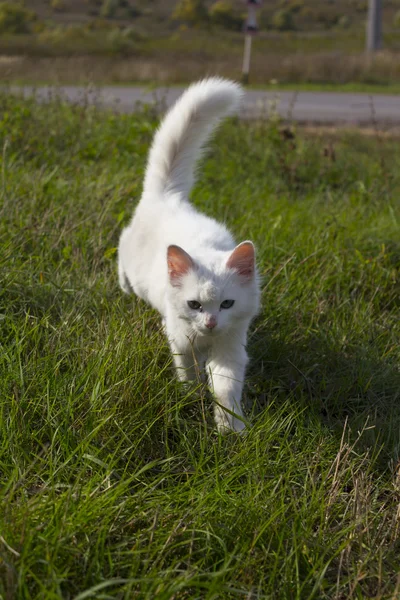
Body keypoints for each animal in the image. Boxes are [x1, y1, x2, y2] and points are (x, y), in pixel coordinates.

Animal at [117, 77, 260, 432]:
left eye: (227, 304)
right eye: (194, 305)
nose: (210, 322)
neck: (207, 341)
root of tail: (168, 196)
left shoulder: (231, 348)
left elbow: (225, 389)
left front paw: (230, 428)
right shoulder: (181, 341)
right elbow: (189, 375)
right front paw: (189, 398)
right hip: (133, 265)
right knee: (121, 248)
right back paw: (123, 287)